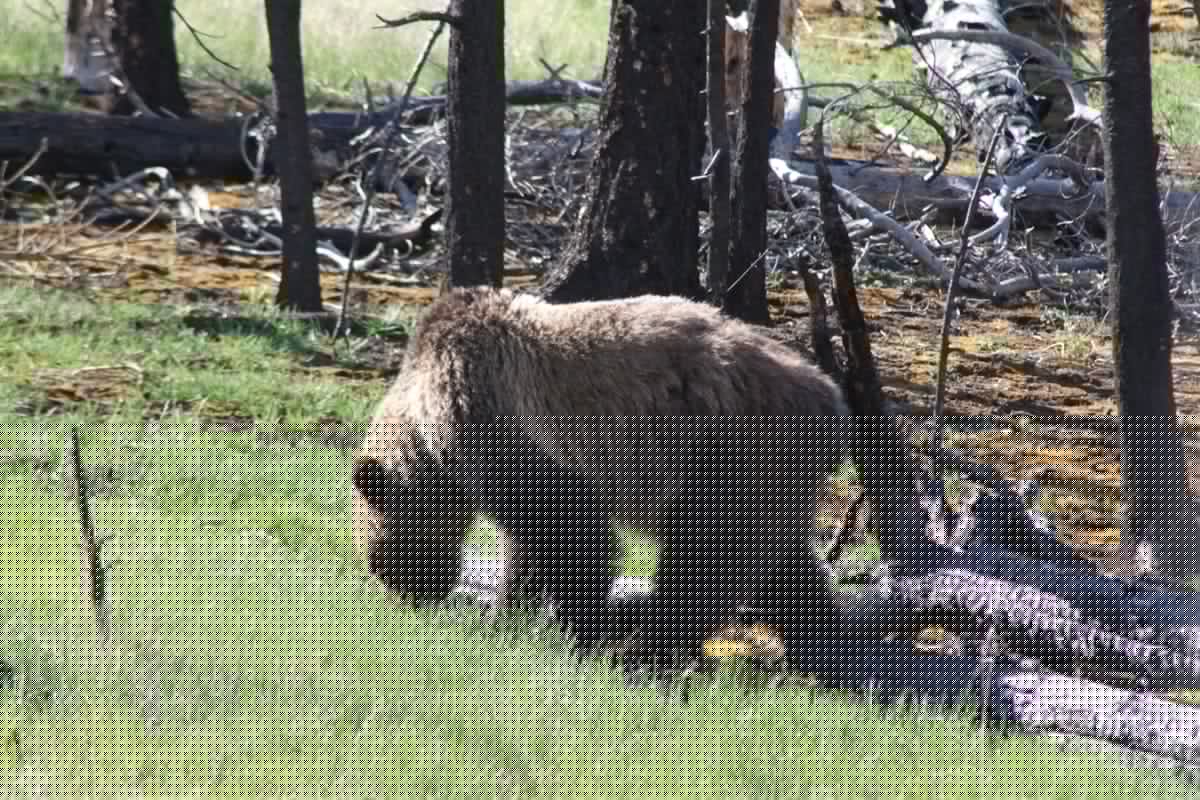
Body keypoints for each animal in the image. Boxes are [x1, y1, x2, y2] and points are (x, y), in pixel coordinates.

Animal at [351, 286, 850, 671]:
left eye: (377, 554)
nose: (408, 598)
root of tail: (828, 398)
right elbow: (525, 544)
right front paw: (510, 612)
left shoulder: (510, 427)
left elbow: (567, 535)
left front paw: (575, 629)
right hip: (771, 475)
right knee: (780, 558)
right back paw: (820, 641)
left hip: (723, 452)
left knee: (707, 556)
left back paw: (641, 651)